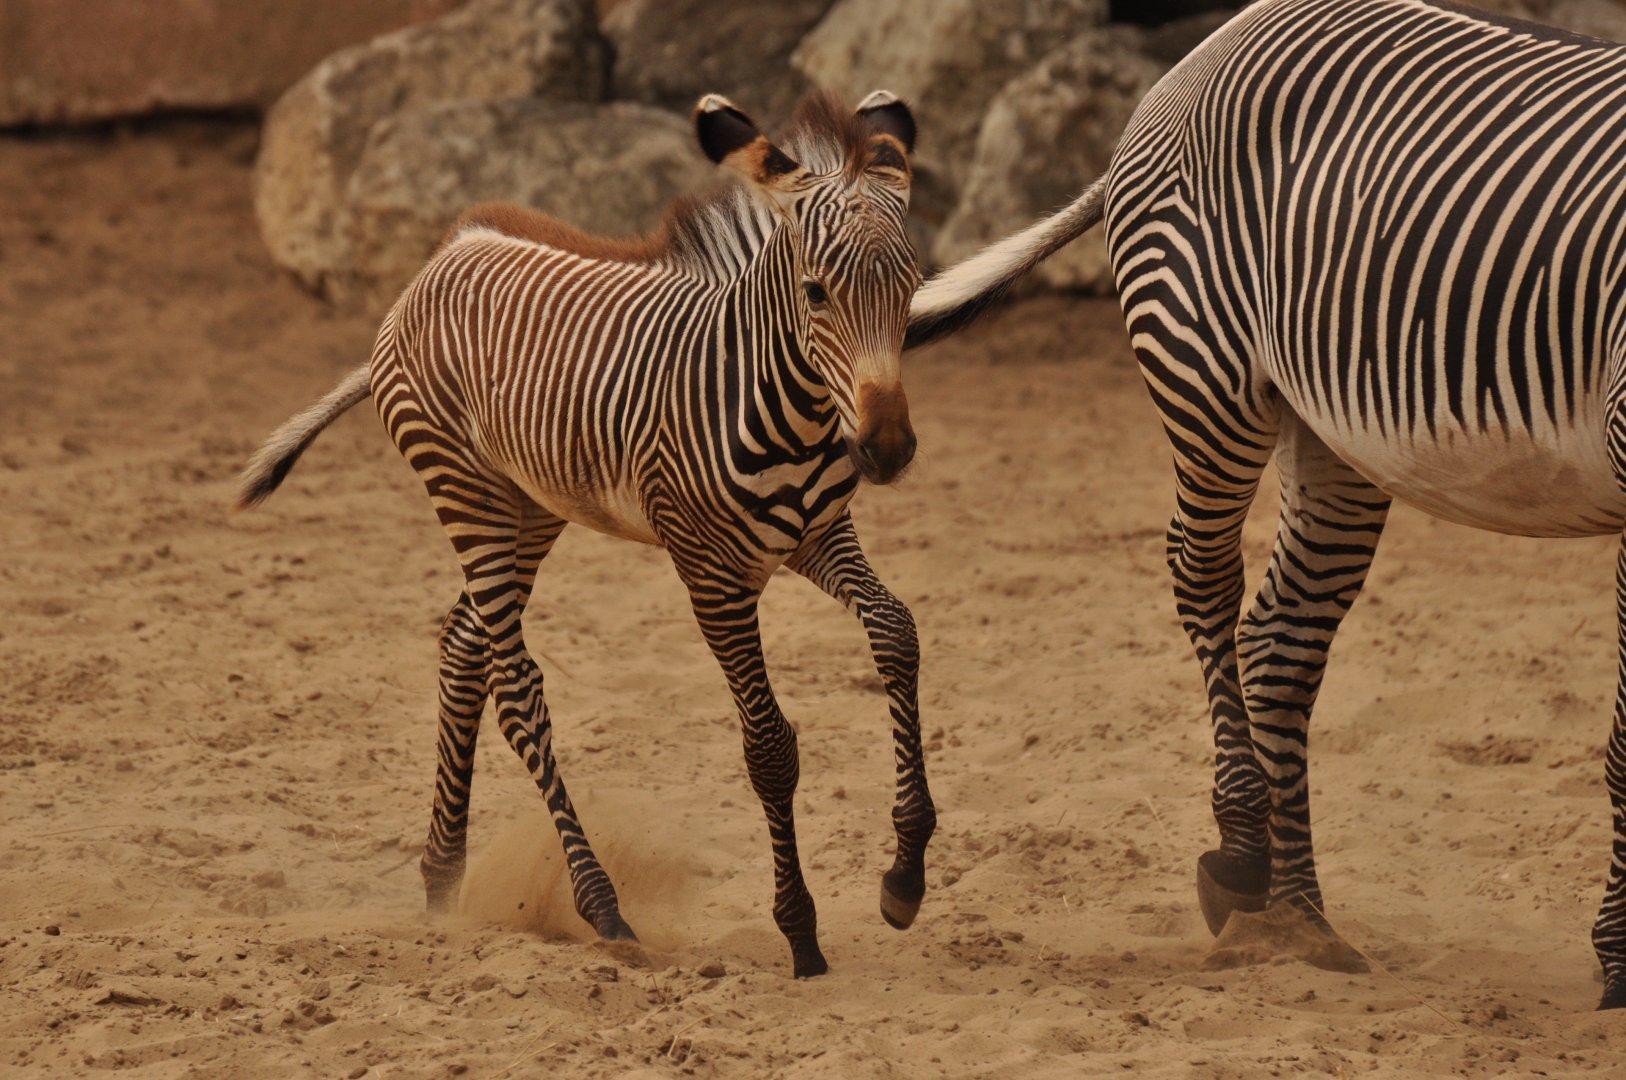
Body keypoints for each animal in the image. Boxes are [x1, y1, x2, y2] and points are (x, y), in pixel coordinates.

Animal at [236, 90, 932, 979]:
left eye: (912, 288)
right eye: (815, 293)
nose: (887, 449)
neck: (786, 409)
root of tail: (447, 255)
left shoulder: (820, 536)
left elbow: (897, 632)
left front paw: (905, 873)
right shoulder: (711, 576)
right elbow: (770, 746)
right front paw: (801, 935)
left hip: (527, 506)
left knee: (464, 645)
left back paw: (442, 880)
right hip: (465, 492)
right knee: (518, 690)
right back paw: (599, 904)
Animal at [908, 0, 1626, 1008]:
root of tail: (1221, 34)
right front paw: (1620, 963)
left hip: (1335, 425)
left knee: (1281, 636)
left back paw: (1300, 921)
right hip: (1207, 373)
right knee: (1202, 574)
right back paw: (1246, 858)